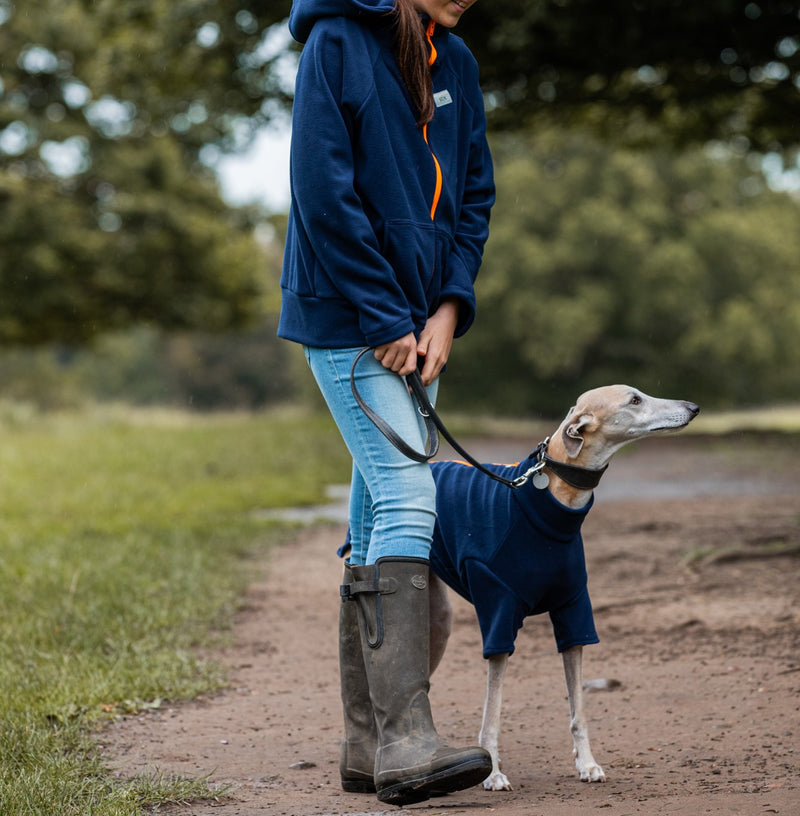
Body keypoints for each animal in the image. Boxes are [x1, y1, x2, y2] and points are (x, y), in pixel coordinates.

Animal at [424, 384, 700, 792]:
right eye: (634, 400)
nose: (693, 407)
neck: (553, 501)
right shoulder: (499, 612)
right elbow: (493, 710)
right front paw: (492, 773)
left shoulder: (573, 609)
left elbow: (578, 708)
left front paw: (587, 764)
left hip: (438, 617)